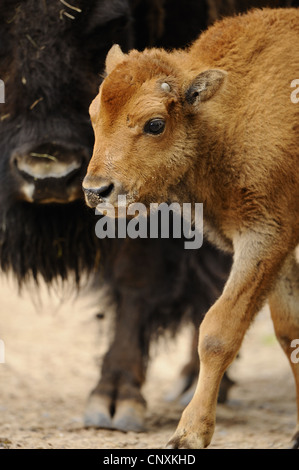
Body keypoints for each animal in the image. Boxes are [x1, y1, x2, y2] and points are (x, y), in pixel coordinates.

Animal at [83, 8, 299, 448]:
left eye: (155, 124)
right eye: (94, 114)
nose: (97, 191)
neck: (223, 114)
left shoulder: (266, 236)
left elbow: (218, 331)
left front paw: (188, 435)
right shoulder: (279, 246)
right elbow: (290, 334)